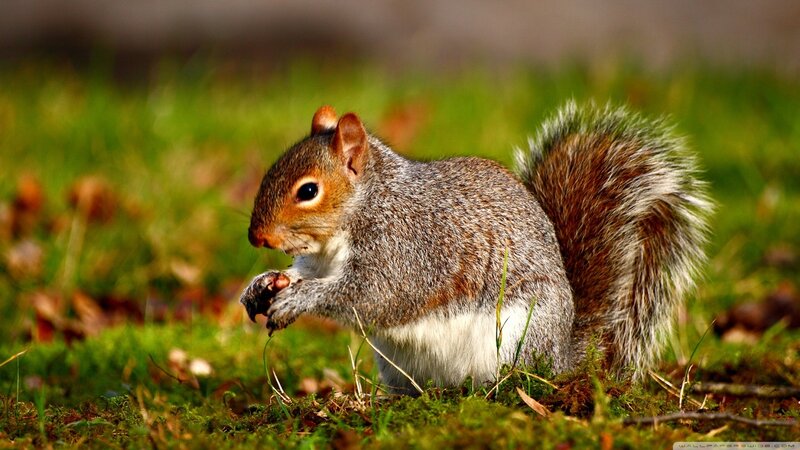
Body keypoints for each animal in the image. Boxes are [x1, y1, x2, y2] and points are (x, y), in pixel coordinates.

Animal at [239, 102, 712, 394]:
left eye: (308, 191)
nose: (256, 238)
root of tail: (563, 356)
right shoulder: (320, 259)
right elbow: (305, 273)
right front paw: (263, 284)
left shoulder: (405, 249)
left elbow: (371, 295)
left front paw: (298, 299)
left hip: (516, 337)